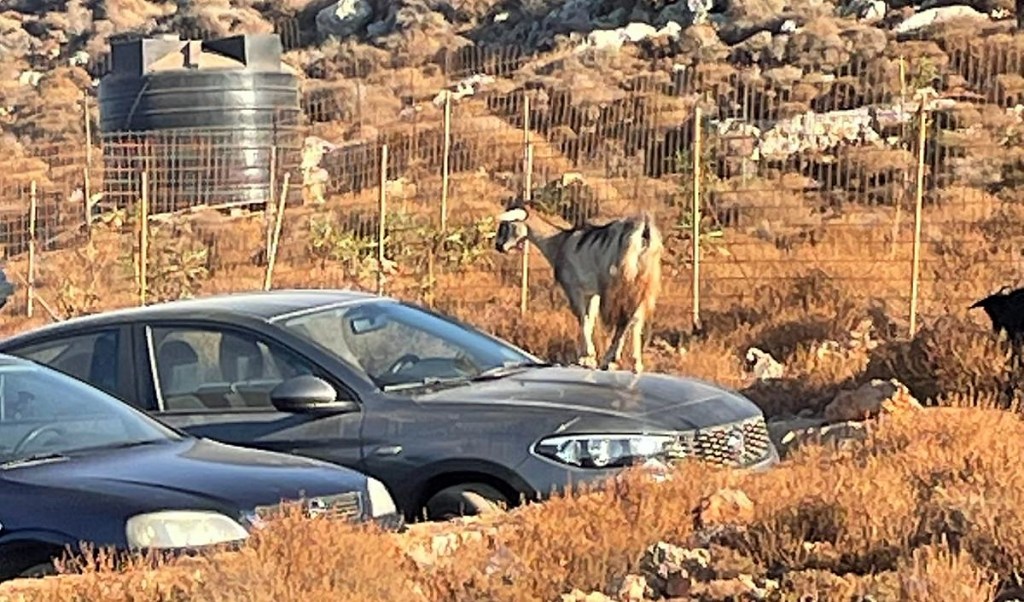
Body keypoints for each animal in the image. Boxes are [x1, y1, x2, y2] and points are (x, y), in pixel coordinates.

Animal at [494, 199, 663, 373]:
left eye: (507, 224)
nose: (498, 246)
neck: (560, 243)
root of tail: (643, 230)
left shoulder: (573, 286)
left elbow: (582, 317)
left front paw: (587, 357)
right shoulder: (592, 293)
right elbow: (590, 318)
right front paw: (588, 357)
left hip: (620, 280)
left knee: (625, 317)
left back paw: (610, 360)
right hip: (644, 279)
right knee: (636, 316)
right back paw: (636, 363)